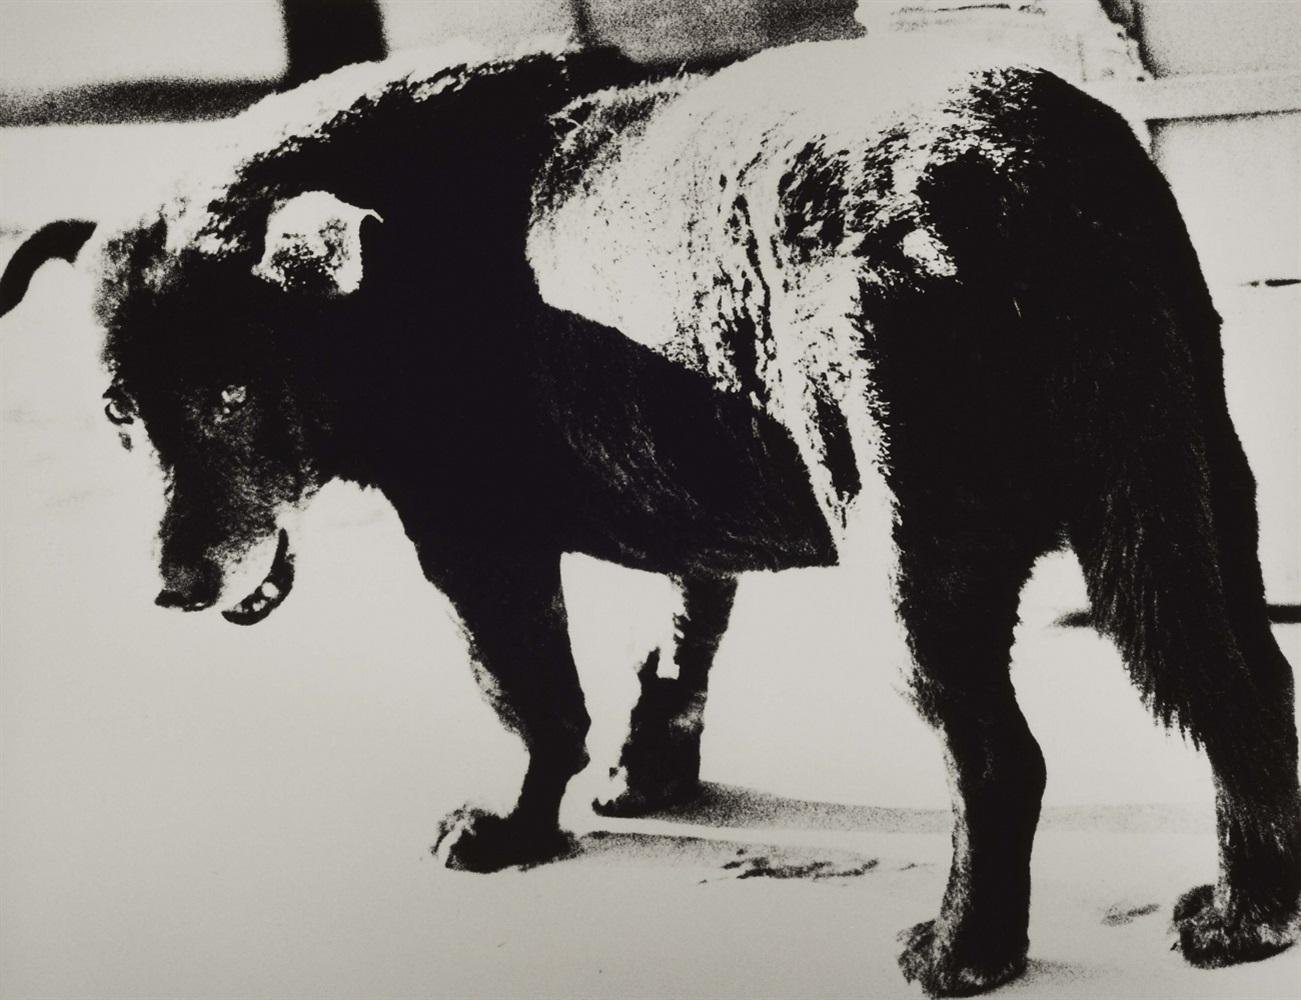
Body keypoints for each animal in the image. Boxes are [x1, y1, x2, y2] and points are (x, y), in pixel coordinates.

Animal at [1, 36, 1296, 998]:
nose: (175, 587)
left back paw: (964, 947)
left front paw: (517, 827)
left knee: (998, 757)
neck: (375, 269)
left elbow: (533, 699)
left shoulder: (473, 548)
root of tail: (1032, 167)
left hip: (917, 558)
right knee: (1245, 685)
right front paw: (652, 769)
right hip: (1186, 494)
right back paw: (1250, 909)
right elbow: (678, 643)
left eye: (230, 392)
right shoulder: (685, 491)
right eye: (119, 411)